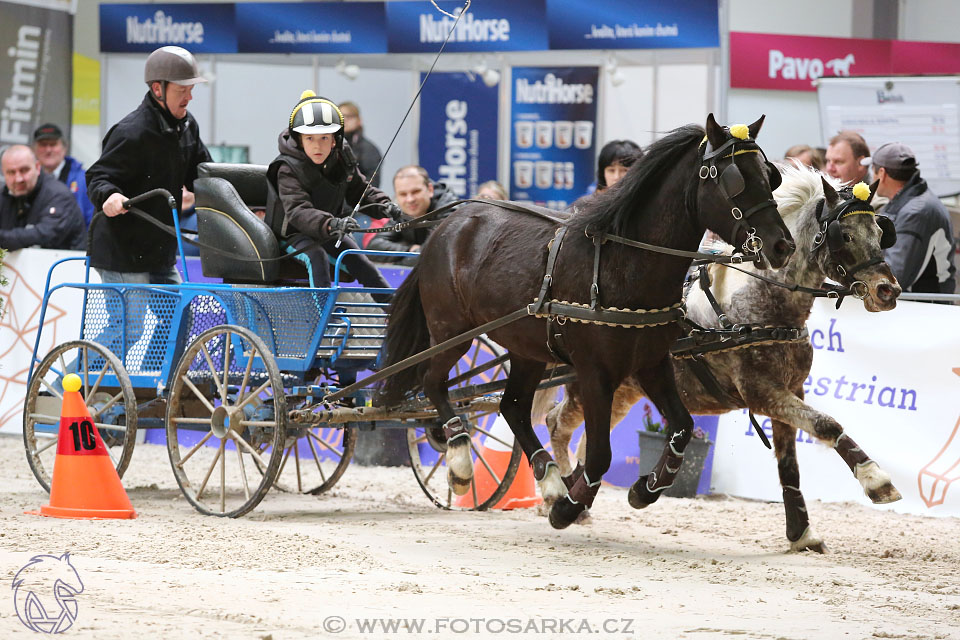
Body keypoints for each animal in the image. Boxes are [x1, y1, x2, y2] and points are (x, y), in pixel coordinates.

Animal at [378, 115, 792, 528]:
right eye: (735, 178)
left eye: (769, 175)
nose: (781, 245)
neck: (623, 264)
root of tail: (444, 227)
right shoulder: (595, 373)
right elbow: (599, 454)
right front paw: (570, 507)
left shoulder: (652, 364)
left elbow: (683, 427)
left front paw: (645, 488)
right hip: (452, 330)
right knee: (433, 382)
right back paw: (462, 461)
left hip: (527, 349)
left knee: (512, 407)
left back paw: (548, 480)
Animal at [548, 165, 900, 552]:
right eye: (845, 235)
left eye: (880, 233)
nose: (888, 290)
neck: (760, 308)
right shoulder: (761, 393)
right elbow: (827, 424)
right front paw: (876, 479)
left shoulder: (792, 390)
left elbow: (789, 465)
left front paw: (801, 532)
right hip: (588, 384)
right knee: (556, 424)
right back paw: (556, 493)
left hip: (623, 391)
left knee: (583, 438)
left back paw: (577, 500)